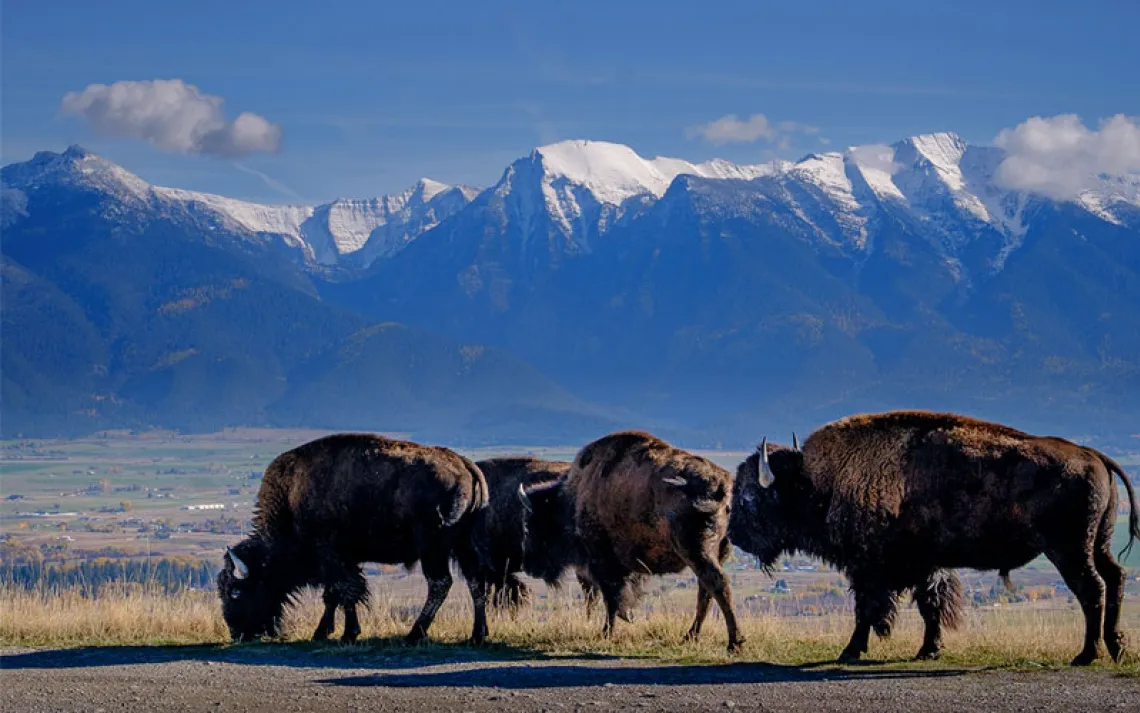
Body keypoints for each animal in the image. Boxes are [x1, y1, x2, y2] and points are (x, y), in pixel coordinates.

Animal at [217, 433, 489, 645]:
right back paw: (477, 636)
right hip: (463, 545)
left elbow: (345, 591)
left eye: (236, 591)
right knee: (476, 581)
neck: (290, 501)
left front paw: (345, 634)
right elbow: (336, 594)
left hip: (432, 547)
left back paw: (414, 635)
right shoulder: (343, 560)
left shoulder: (332, 557)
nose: (236, 633)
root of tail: (465, 465)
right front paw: (326, 632)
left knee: (440, 583)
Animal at [566, 431, 743, 651]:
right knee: (706, 590)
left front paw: (607, 632)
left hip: (696, 550)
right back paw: (691, 636)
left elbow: (612, 596)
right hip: (719, 550)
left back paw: (734, 642)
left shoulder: (604, 560)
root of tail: (721, 486)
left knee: (716, 583)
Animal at [731, 411, 1139, 665]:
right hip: (1097, 544)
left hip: (1069, 551)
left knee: (1092, 590)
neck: (818, 482)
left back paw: (1087, 655)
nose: (733, 535)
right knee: (1115, 579)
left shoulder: (868, 568)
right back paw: (1116, 648)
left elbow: (867, 610)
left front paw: (851, 651)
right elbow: (930, 606)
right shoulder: (925, 565)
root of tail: (1094, 455)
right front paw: (929, 650)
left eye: (749, 496)